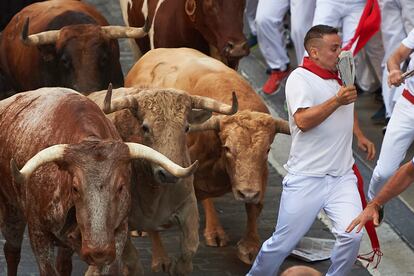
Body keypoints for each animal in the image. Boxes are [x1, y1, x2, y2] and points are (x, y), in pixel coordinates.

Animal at [0, 88, 196, 276]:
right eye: (75, 188)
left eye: (121, 187)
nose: (98, 251)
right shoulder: (38, 234)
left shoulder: (119, 234)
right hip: (11, 213)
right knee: (12, 252)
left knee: (64, 264)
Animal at [87, 85, 236, 274]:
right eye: (145, 127)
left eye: (186, 128)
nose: (169, 174)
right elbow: (132, 259)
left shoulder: (188, 206)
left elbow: (188, 251)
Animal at [124, 48, 290, 266]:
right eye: (228, 148)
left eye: (267, 150)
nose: (246, 193)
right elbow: (205, 198)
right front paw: (215, 232)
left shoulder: (259, 177)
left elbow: (255, 206)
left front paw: (250, 246)